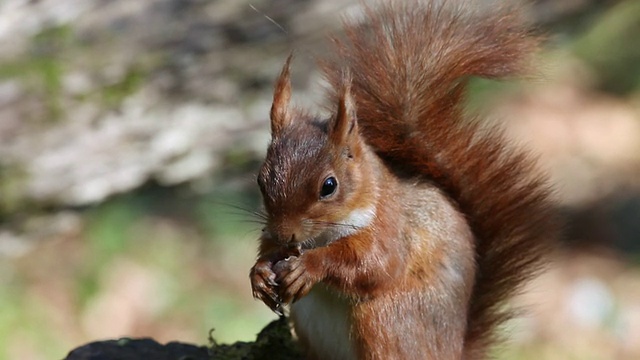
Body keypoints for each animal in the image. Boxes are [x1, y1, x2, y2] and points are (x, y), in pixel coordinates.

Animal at [249, 1, 556, 358]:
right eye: (260, 180)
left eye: (329, 186)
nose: (285, 235)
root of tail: (452, 351)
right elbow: (267, 249)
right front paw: (259, 271)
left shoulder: (390, 226)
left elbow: (375, 264)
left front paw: (310, 265)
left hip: (385, 317)